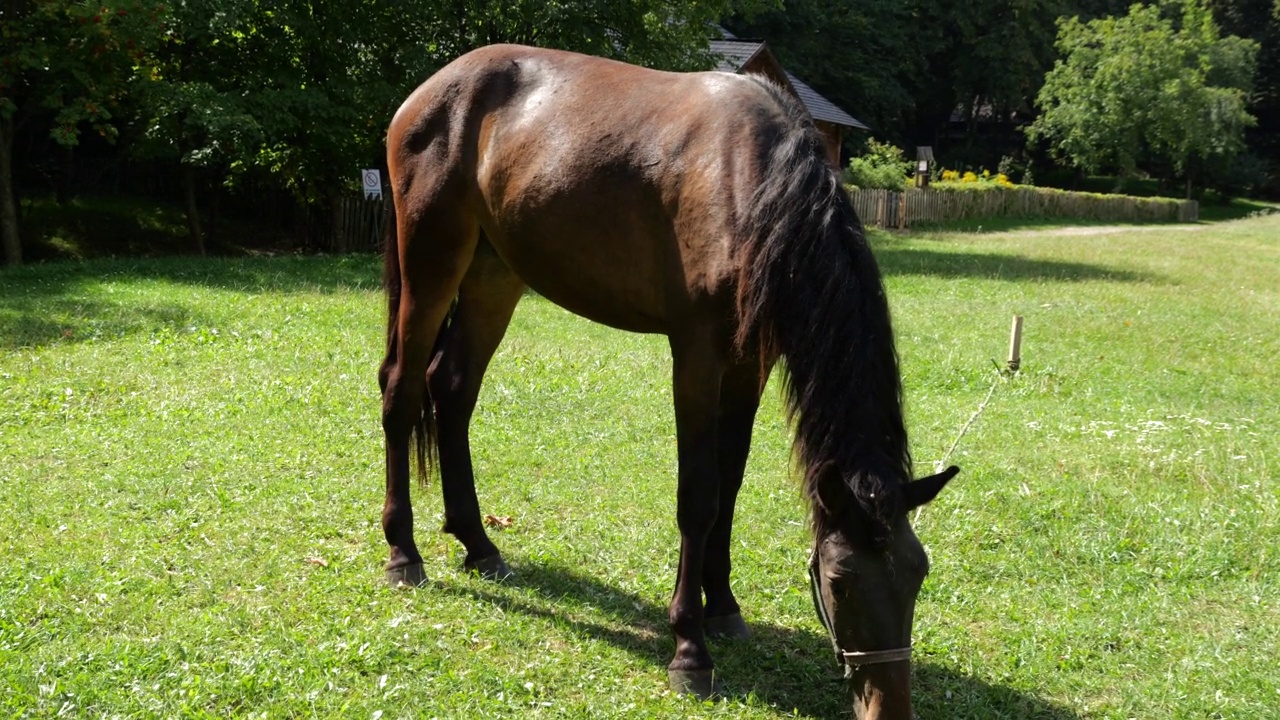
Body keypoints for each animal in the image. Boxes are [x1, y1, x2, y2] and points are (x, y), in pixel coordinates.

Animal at [373, 46, 957, 717]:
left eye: (917, 574)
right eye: (841, 582)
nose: (889, 705)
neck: (754, 185)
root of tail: (429, 92)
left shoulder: (751, 362)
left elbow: (729, 485)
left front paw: (722, 607)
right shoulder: (697, 353)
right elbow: (698, 496)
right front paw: (689, 648)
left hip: (494, 275)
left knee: (452, 390)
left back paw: (478, 543)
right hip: (432, 263)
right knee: (402, 391)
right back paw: (403, 552)